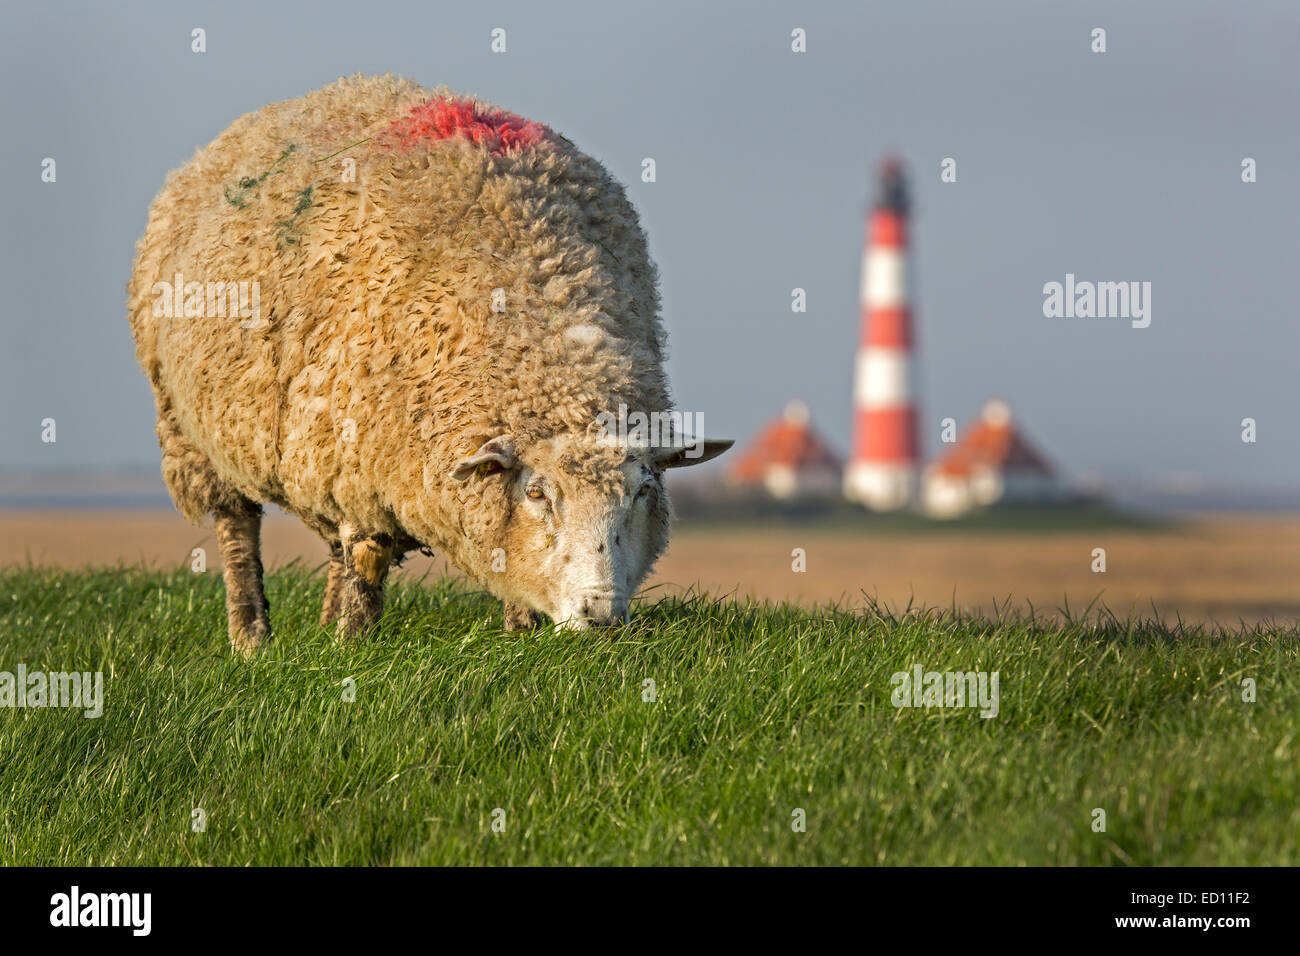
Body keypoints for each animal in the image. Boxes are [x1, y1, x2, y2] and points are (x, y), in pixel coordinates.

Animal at [129, 76, 733, 658]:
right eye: (538, 494)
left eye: (643, 492)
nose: (602, 618)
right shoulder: (367, 449)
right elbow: (368, 560)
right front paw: (351, 649)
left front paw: (520, 636)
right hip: (194, 429)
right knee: (238, 528)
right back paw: (252, 638)